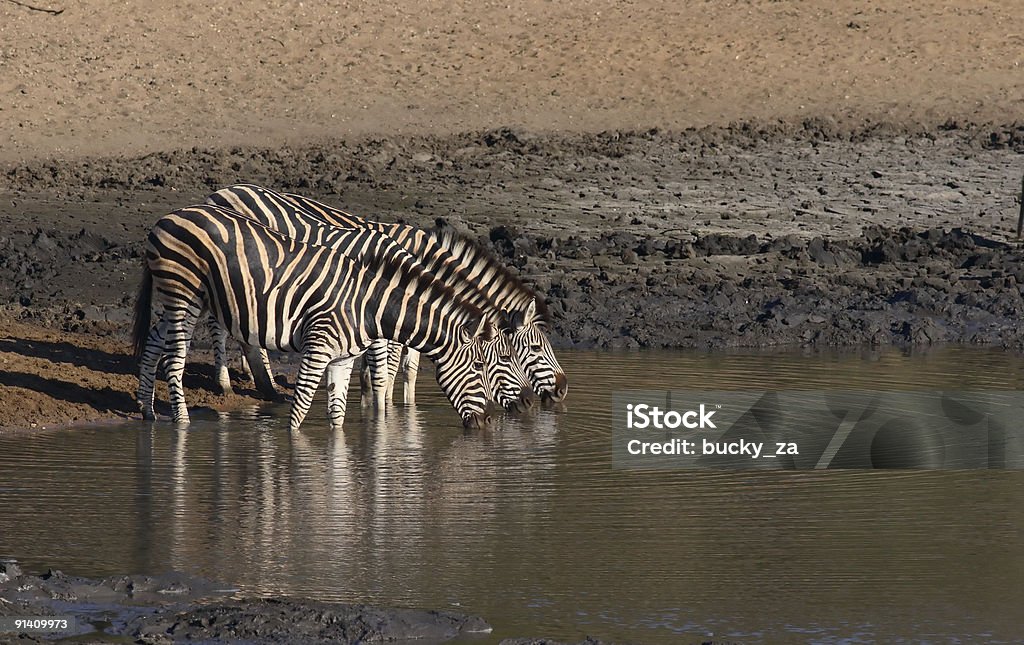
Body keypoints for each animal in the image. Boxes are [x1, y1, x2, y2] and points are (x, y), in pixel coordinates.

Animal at [133, 204, 495, 432]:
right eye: (479, 367)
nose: (490, 422)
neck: (370, 306)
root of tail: (167, 217)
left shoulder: (342, 359)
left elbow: (337, 416)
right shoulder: (317, 348)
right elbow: (300, 411)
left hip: (177, 297)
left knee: (153, 343)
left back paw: (147, 411)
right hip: (185, 291)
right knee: (174, 359)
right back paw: (181, 424)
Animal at [205, 184, 569, 409]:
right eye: (532, 350)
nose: (563, 390)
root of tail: (220, 192)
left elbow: (406, 368)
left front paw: (399, 406)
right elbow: (390, 369)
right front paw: (385, 412)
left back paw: (260, 379)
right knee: (218, 327)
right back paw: (228, 383)